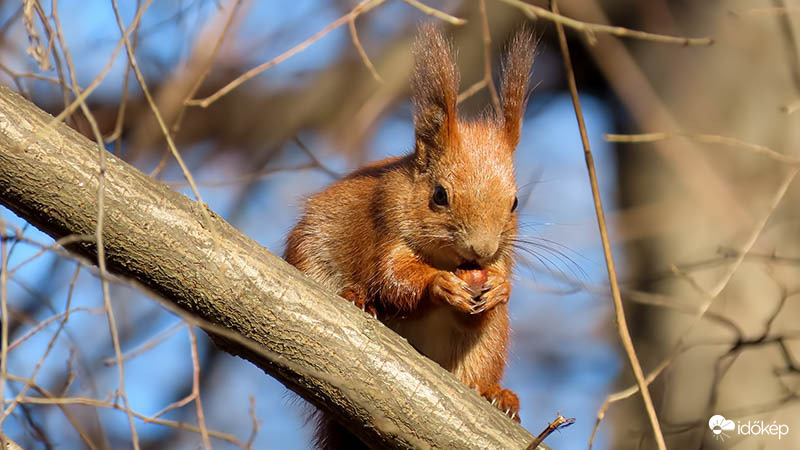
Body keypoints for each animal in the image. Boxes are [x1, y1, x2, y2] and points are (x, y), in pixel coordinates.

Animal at [284, 25, 536, 450]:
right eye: (440, 195)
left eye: (515, 202)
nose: (481, 249)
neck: (451, 260)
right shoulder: (386, 219)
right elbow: (392, 278)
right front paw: (439, 285)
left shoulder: (500, 259)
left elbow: (494, 290)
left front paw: (500, 289)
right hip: (311, 255)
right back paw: (356, 299)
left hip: (489, 345)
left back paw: (497, 395)